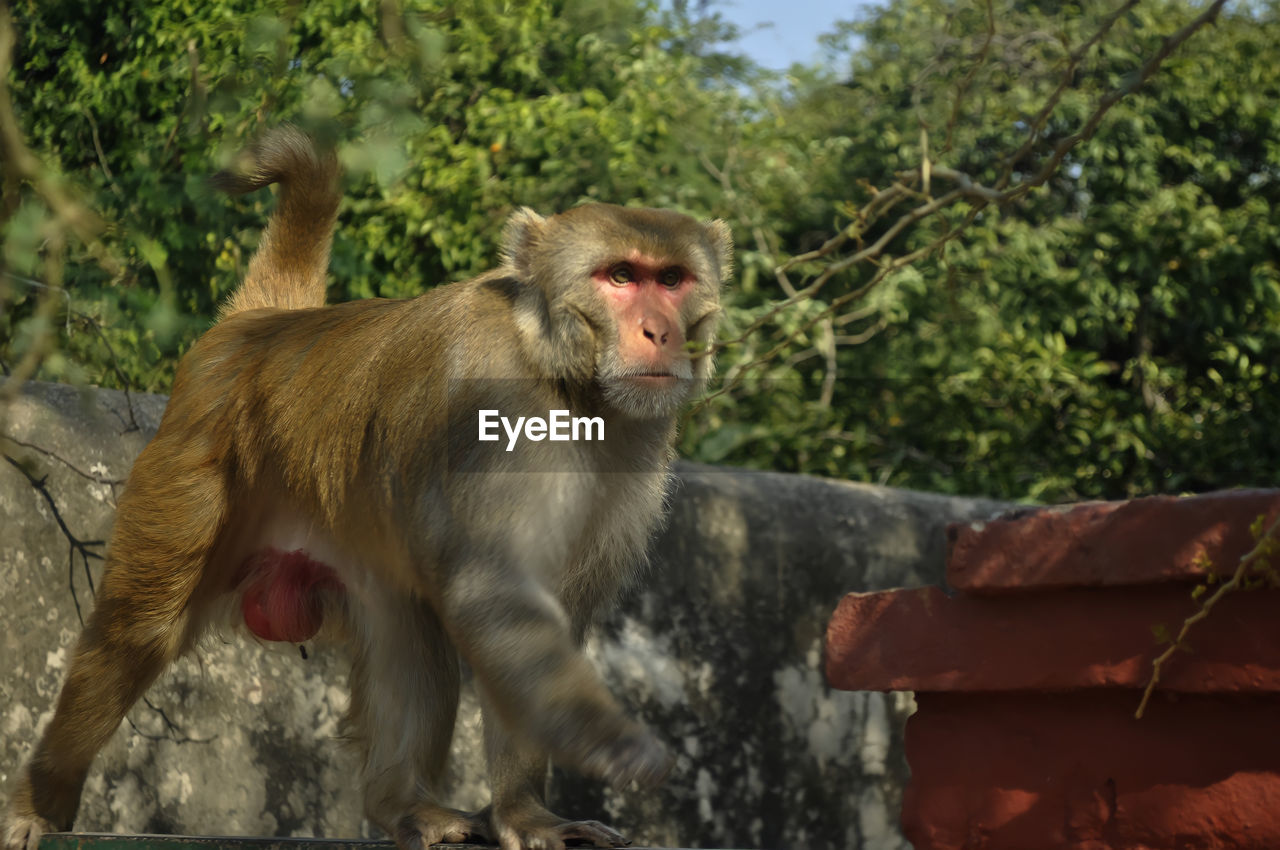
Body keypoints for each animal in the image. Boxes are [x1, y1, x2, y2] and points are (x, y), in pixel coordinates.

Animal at [2, 126, 732, 850]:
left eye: (672, 280)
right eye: (620, 276)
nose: (659, 331)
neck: (567, 379)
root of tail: (264, 324)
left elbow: (541, 610)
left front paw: (525, 813)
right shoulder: (491, 406)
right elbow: (493, 587)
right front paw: (609, 746)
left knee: (407, 619)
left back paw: (402, 804)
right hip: (186, 478)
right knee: (138, 632)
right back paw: (42, 798)